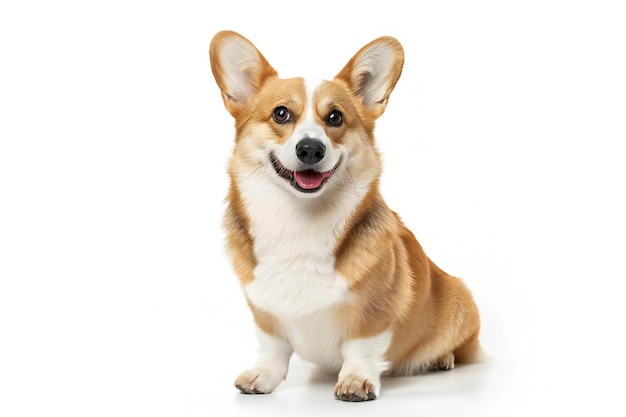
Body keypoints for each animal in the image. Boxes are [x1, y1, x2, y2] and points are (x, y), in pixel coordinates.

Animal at [208, 30, 478, 402]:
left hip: (461, 301)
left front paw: (355, 381)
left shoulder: (375, 309)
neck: (300, 221)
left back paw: (443, 358)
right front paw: (263, 375)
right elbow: (273, 346)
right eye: (281, 114)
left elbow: (359, 348)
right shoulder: (263, 310)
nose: (310, 149)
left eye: (335, 117)